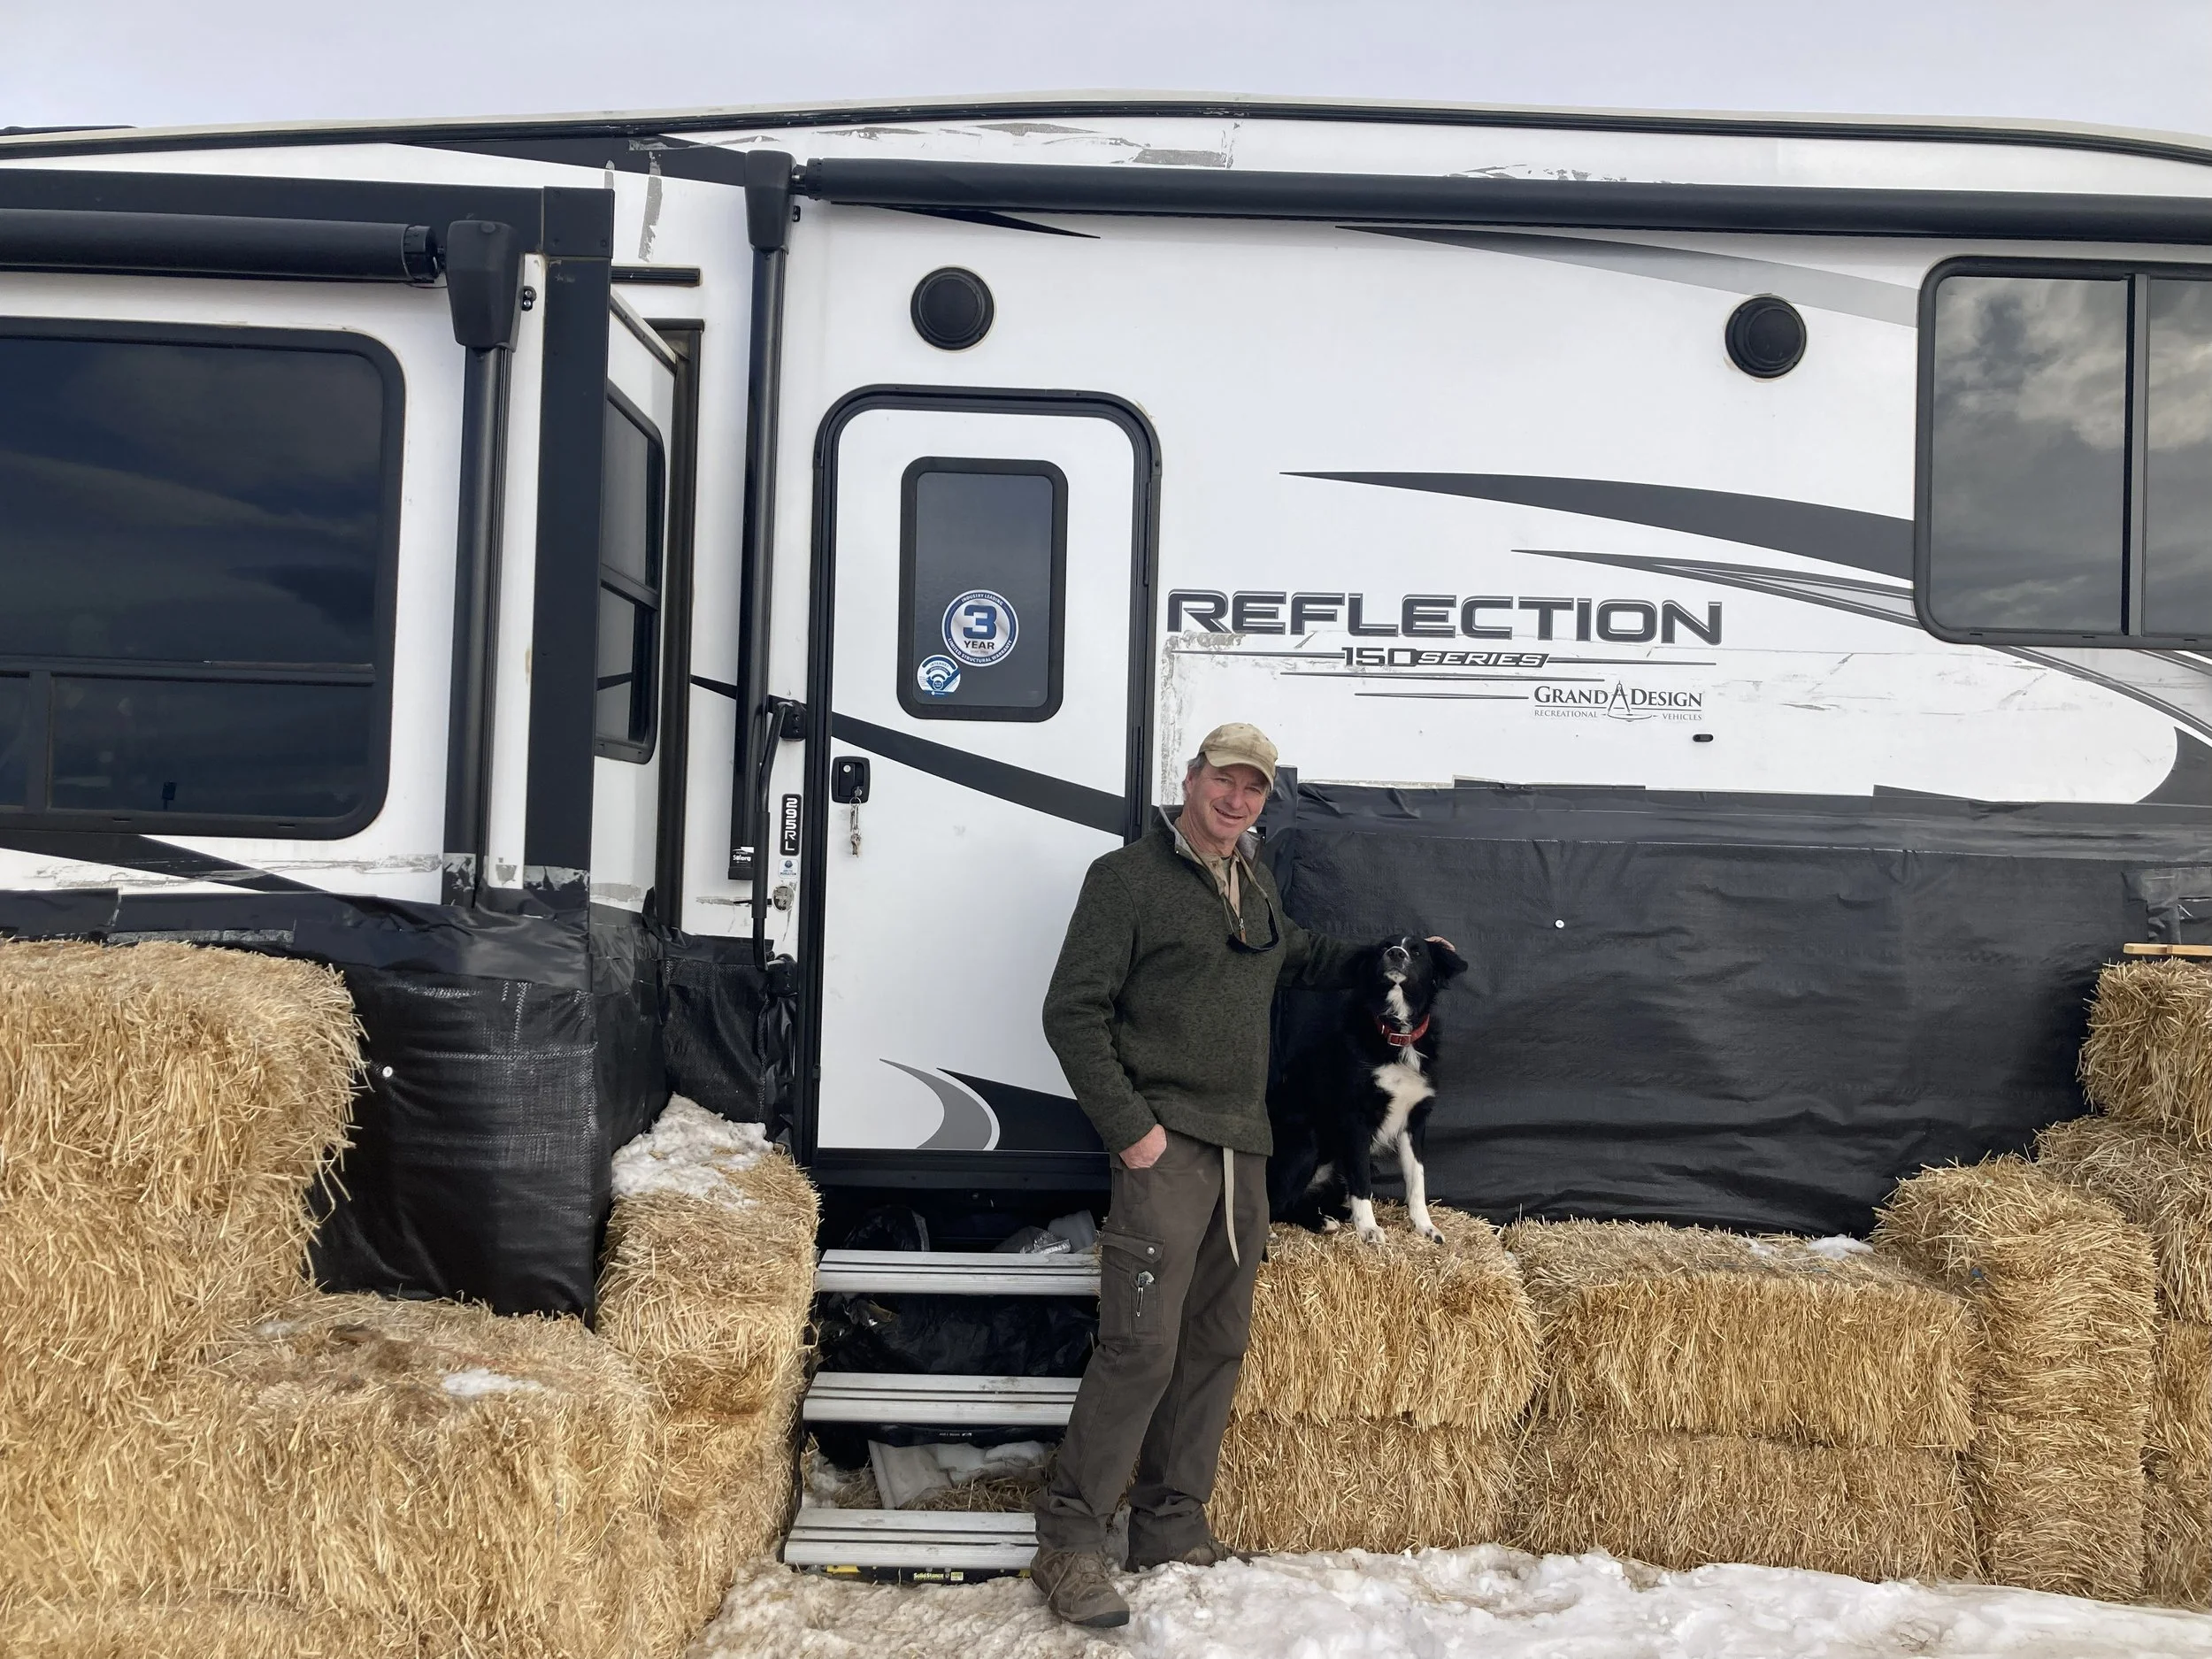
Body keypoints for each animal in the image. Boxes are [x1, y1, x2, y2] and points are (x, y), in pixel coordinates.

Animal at [1265, 935, 1469, 1245]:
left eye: (1417, 951)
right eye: (1384, 947)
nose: (1396, 954)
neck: (1397, 1034)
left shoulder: (1414, 1121)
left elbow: (1417, 1179)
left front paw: (1425, 1226)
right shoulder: (1356, 1120)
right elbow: (1362, 1183)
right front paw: (1369, 1229)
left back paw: (1334, 1215)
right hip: (1306, 1140)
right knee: (1277, 1202)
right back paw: (1313, 1223)